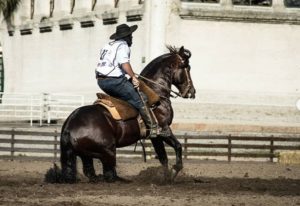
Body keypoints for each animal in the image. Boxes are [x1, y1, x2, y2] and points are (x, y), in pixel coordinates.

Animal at [44, 45, 195, 183]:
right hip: (109, 150)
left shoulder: (155, 136)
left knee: (92, 173)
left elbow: (163, 157)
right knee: (109, 174)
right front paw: (174, 171)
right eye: (187, 67)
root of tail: (69, 127)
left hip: (87, 155)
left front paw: (167, 178)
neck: (156, 92)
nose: (191, 92)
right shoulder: (164, 130)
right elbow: (177, 147)